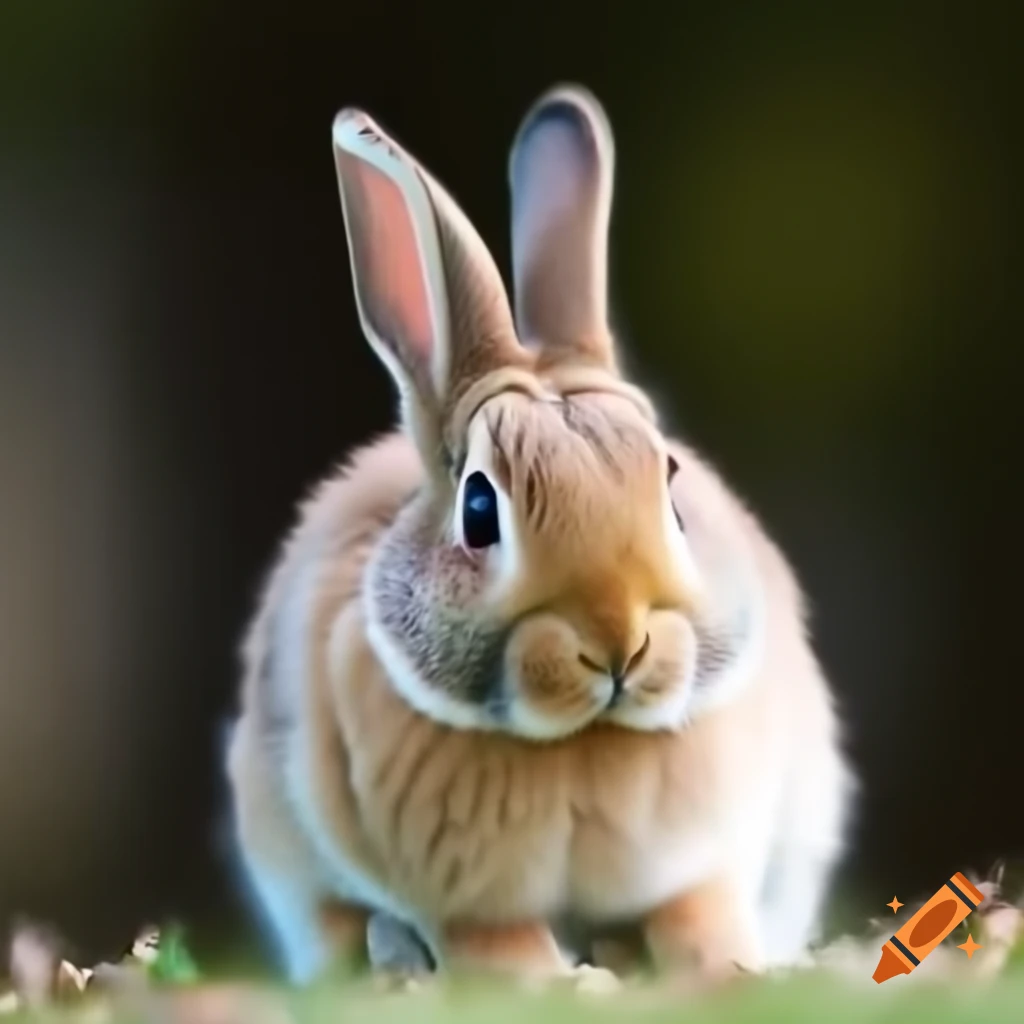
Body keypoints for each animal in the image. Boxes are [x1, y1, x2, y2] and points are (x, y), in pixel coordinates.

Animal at [226, 83, 854, 988]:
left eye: (670, 487)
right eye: (479, 511)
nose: (619, 643)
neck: (578, 744)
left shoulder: (702, 862)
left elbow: (697, 910)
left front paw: (720, 970)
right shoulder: (465, 901)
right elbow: (494, 943)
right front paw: (559, 985)